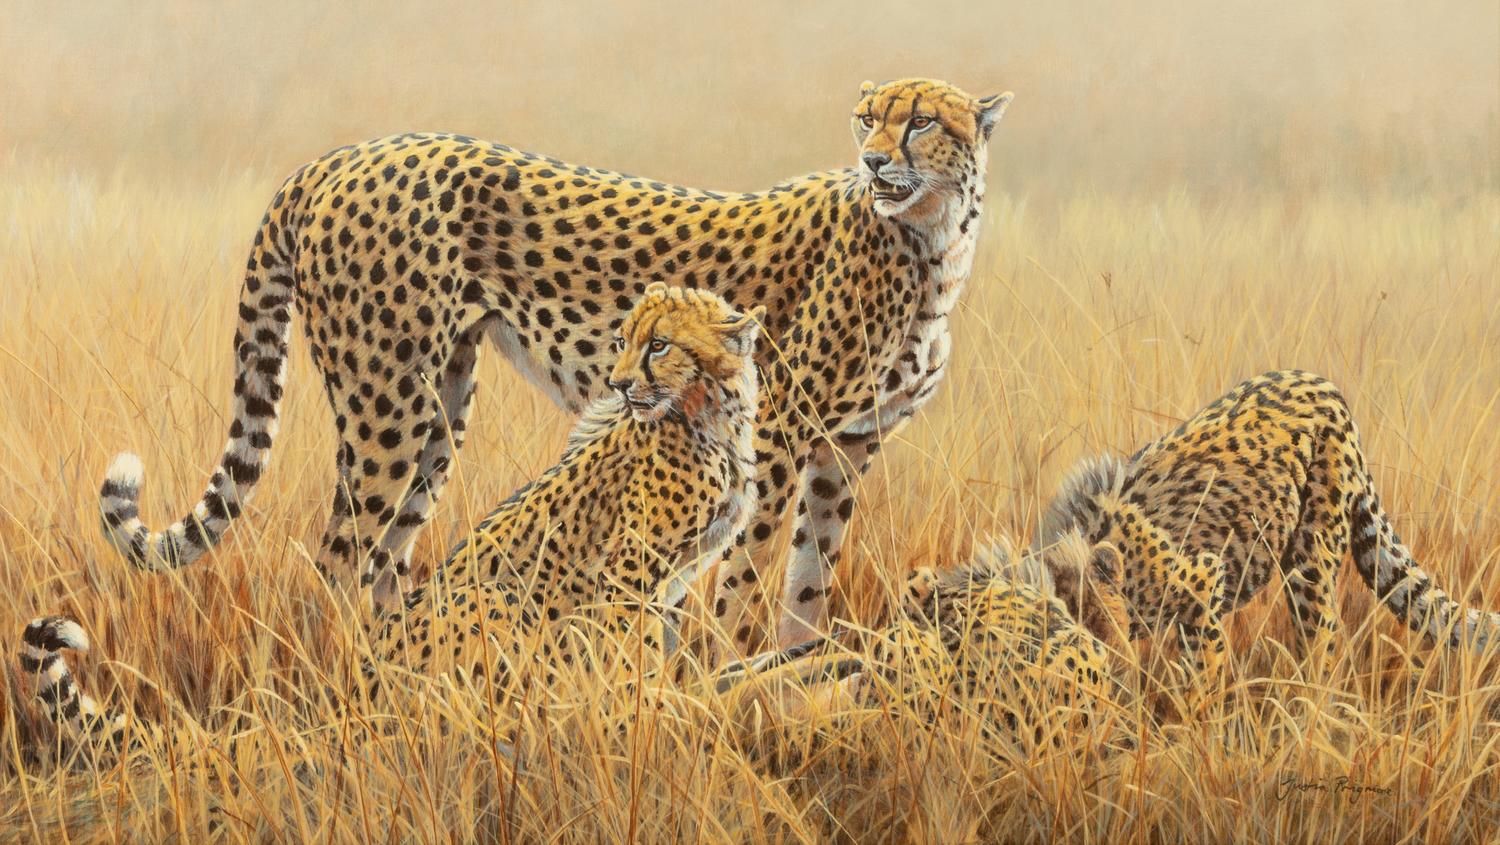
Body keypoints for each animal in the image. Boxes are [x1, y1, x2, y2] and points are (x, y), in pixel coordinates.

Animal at [29, 284, 762, 756]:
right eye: (625, 340)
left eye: (659, 344)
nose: (618, 382)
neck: (709, 416)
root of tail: (355, 690)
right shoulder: (629, 570)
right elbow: (630, 652)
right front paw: (642, 713)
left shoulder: (673, 576)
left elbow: (661, 642)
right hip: (493, 596)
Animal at [93, 77, 1016, 660]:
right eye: (866, 117)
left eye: (922, 122)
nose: (874, 162)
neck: (930, 247)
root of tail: (345, 155)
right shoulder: (783, 440)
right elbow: (746, 584)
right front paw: (731, 677)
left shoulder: (845, 450)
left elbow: (810, 581)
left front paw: (794, 670)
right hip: (386, 405)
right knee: (340, 560)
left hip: (439, 412)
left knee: (388, 560)